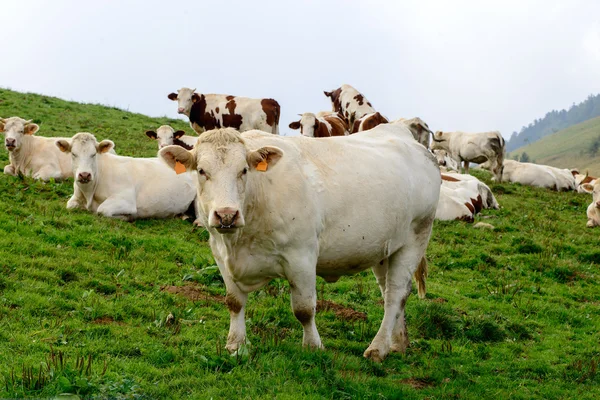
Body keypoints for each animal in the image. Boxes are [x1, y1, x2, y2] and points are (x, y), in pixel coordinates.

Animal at [56, 132, 195, 220]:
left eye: (94, 154)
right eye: (73, 154)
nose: (84, 175)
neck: (89, 193)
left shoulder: (126, 200)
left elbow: (102, 210)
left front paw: (126, 217)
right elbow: (70, 205)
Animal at [158, 125, 440, 362]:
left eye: (244, 170)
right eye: (202, 171)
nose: (226, 215)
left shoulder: (301, 256)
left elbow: (304, 309)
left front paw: (313, 346)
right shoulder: (220, 253)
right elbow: (234, 302)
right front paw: (236, 344)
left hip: (416, 237)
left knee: (395, 294)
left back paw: (378, 348)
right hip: (386, 248)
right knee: (391, 292)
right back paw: (398, 342)